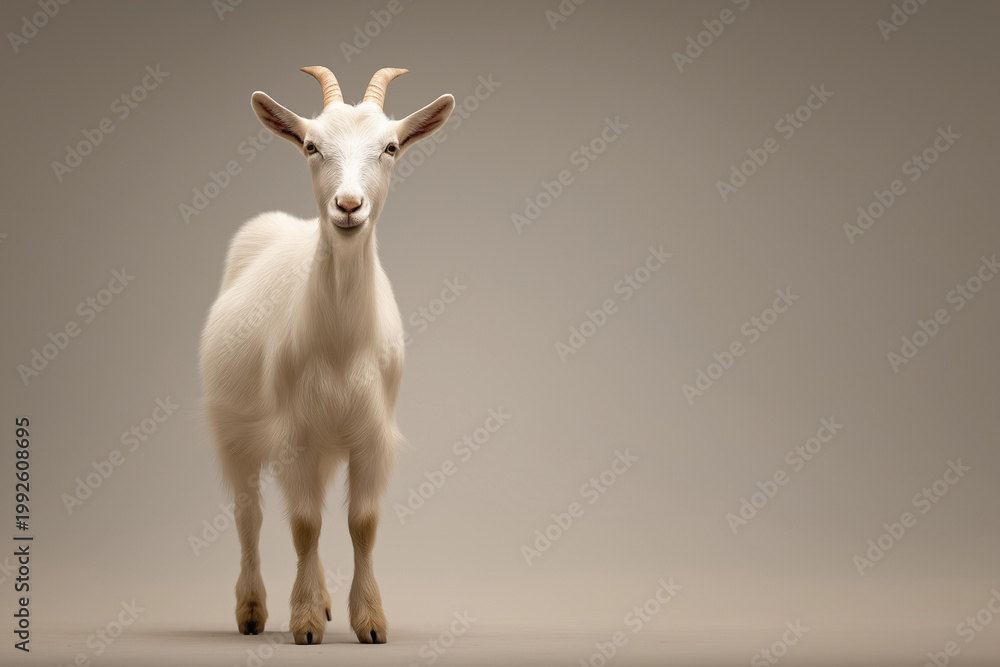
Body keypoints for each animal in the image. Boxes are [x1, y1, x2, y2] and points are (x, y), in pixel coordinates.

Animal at [199, 66, 454, 645]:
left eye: (390, 147)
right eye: (312, 146)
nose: (349, 205)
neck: (340, 345)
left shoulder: (371, 433)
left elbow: (362, 523)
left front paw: (370, 620)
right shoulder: (295, 433)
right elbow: (304, 524)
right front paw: (306, 620)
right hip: (232, 431)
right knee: (249, 517)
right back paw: (252, 611)